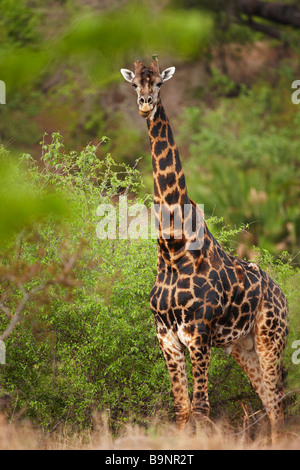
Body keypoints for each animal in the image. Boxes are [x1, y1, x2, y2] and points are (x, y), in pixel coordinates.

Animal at [120, 57, 290, 438]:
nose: (145, 105)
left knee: (279, 404)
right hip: (243, 345)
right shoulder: (167, 337)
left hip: (271, 338)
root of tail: (283, 295)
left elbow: (201, 410)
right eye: (135, 84)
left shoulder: (198, 335)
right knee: (270, 403)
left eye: (159, 83)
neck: (172, 248)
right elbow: (182, 412)